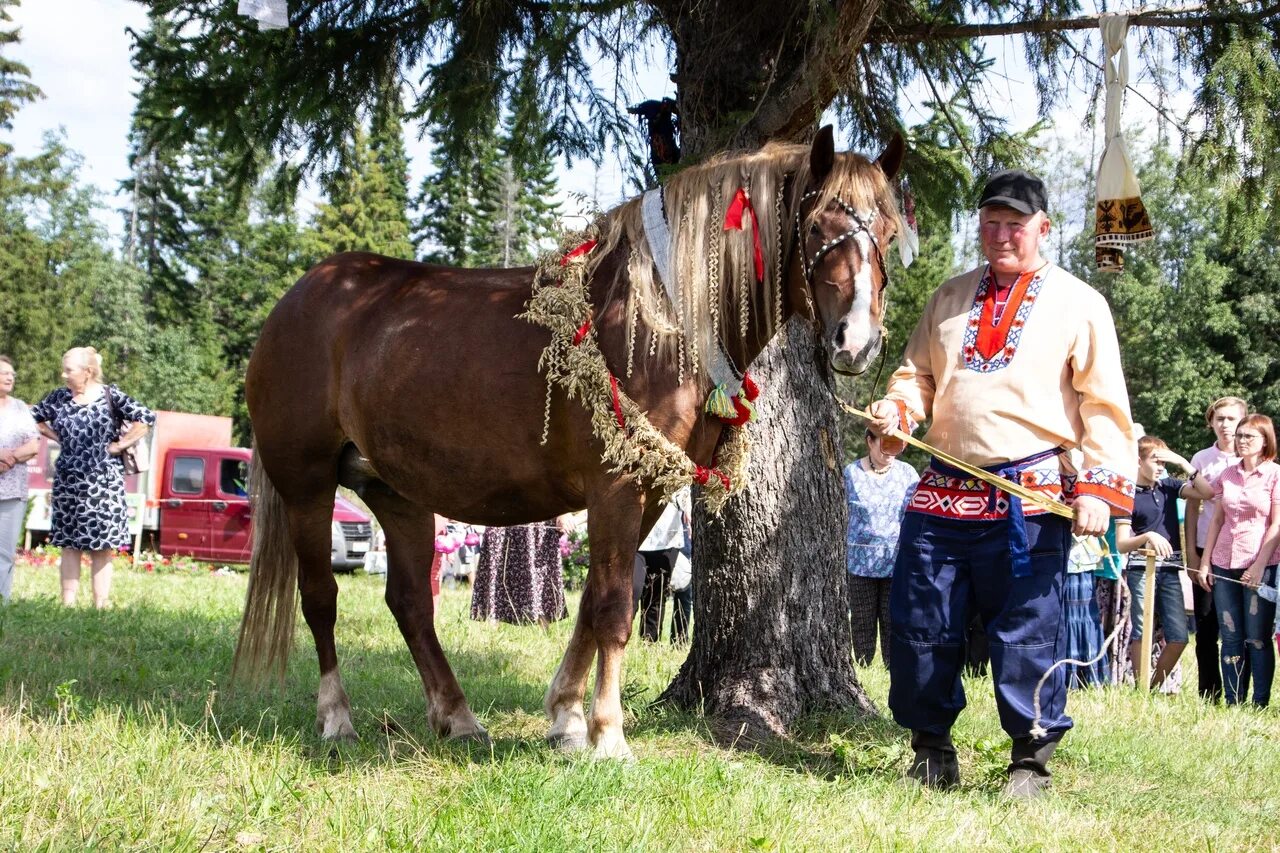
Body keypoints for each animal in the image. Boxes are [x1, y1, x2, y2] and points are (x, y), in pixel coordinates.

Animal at [235, 128, 906, 758]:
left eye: (891, 231)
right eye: (817, 225)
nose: (857, 342)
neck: (659, 320)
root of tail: (298, 298)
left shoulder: (650, 493)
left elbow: (592, 604)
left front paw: (566, 716)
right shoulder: (616, 486)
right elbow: (612, 608)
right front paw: (607, 733)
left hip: (396, 492)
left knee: (409, 602)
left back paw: (457, 716)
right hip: (307, 484)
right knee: (320, 597)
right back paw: (336, 717)